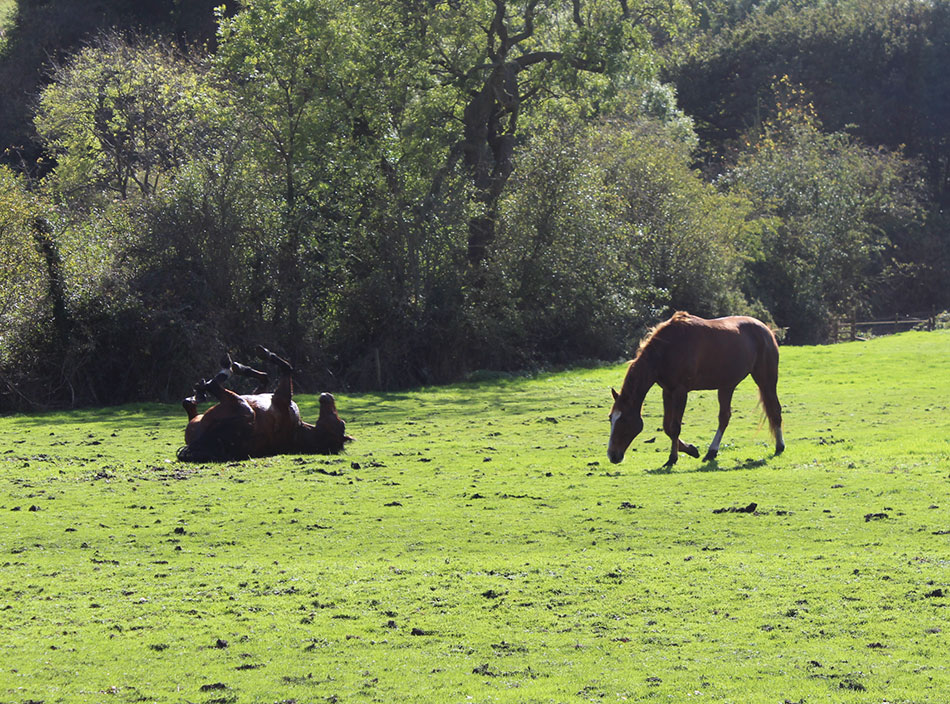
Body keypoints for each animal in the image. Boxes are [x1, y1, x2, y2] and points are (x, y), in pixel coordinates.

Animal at [177, 346, 352, 462]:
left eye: (341, 423)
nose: (327, 396)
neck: (298, 430)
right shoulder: (263, 394)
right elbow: (266, 378)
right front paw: (243, 368)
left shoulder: (282, 396)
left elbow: (286, 368)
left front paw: (262, 354)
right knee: (189, 403)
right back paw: (199, 393)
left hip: (244, 408)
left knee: (213, 385)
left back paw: (222, 371)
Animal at [607, 312, 784, 467]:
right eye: (611, 418)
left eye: (624, 420)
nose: (612, 455)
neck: (666, 349)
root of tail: (767, 330)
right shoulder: (667, 391)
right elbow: (667, 427)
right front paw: (691, 449)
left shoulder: (680, 391)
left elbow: (674, 427)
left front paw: (672, 459)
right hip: (726, 386)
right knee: (724, 417)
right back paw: (711, 452)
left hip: (766, 380)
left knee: (774, 410)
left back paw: (779, 447)